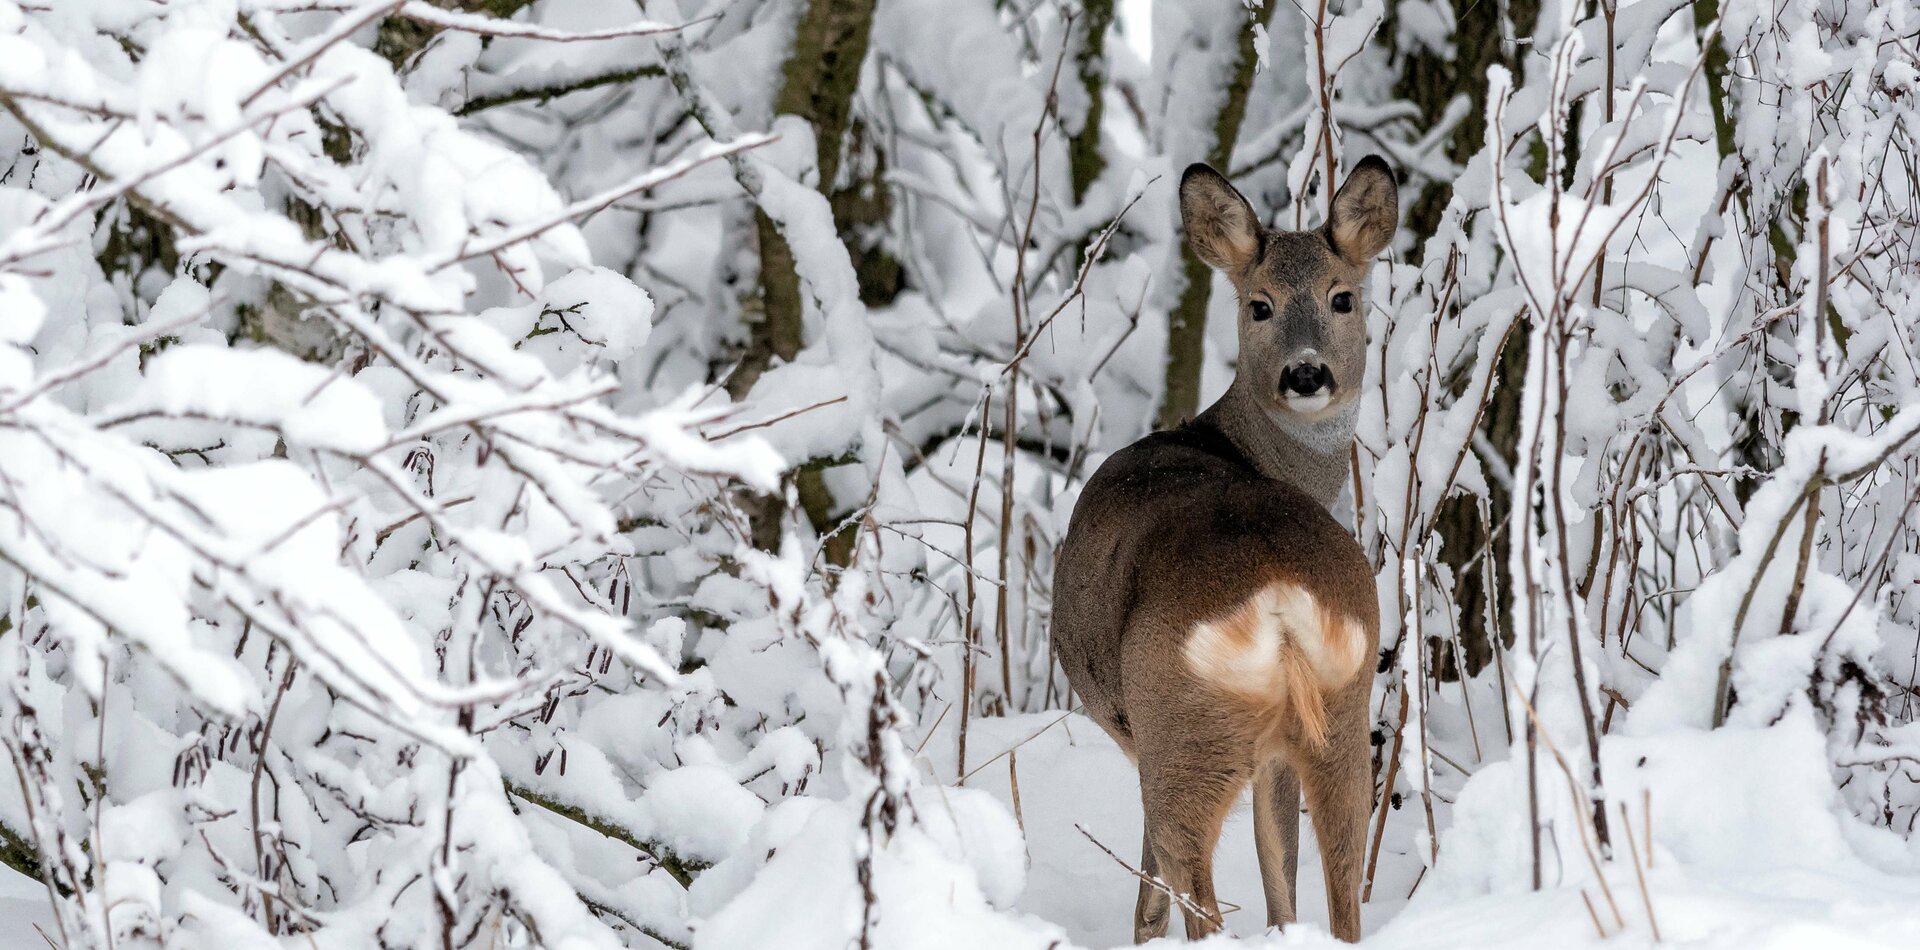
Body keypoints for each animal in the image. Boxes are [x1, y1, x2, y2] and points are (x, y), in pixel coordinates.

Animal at [1052, 160, 1397, 940]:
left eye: (1342, 297)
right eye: (1259, 306)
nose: (1306, 373)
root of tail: (1279, 594)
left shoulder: (1138, 732)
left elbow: (1150, 893)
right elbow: (1281, 875)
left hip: (1181, 726)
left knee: (1191, 888)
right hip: (1342, 712)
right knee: (1337, 889)